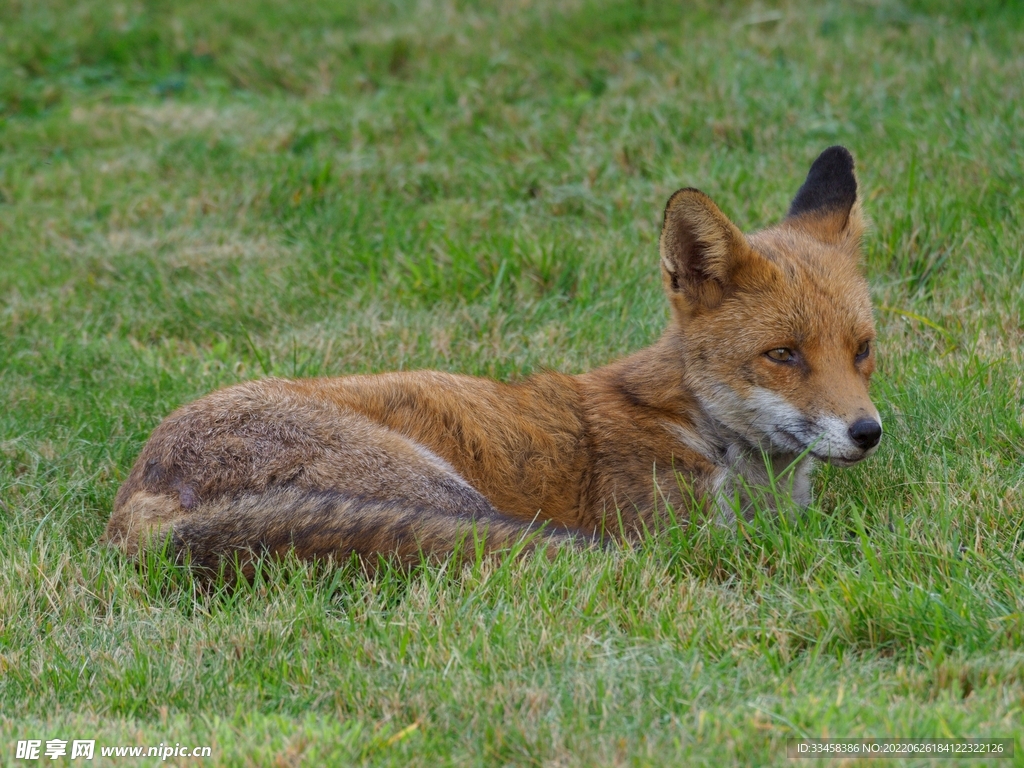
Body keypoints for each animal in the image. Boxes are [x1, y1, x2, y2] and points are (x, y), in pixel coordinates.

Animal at [105, 147, 888, 573]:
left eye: (863, 350)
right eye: (782, 355)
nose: (867, 433)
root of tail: (138, 495)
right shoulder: (686, 532)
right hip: (443, 493)